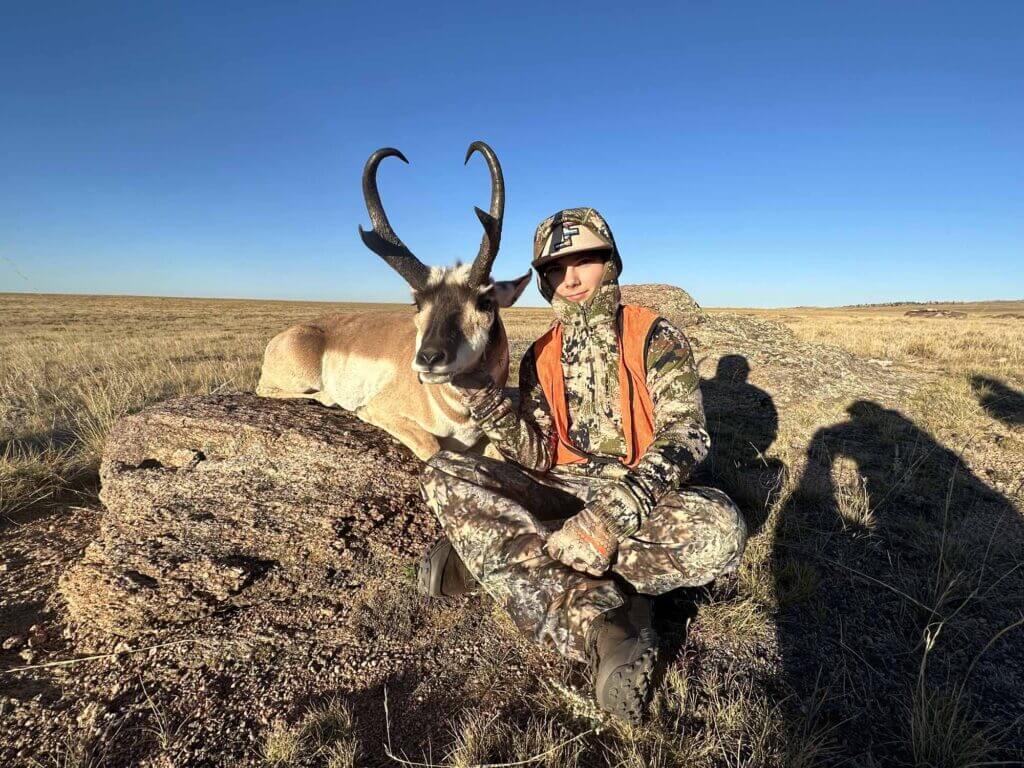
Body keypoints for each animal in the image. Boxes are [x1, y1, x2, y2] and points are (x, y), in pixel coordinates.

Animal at [256, 141, 530, 461]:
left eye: (485, 302)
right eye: (418, 303)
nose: (428, 359)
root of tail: (287, 335)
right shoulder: (381, 411)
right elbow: (432, 446)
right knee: (267, 389)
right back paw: (327, 398)